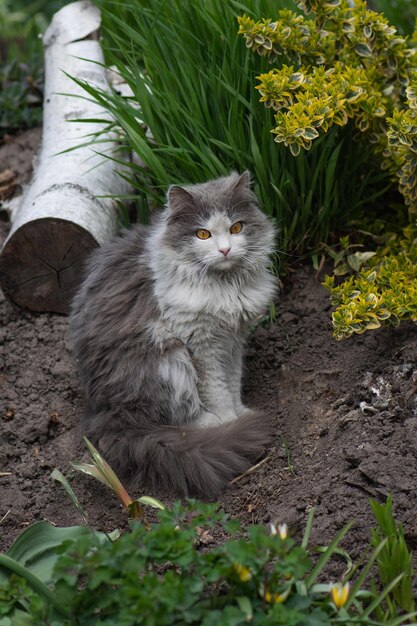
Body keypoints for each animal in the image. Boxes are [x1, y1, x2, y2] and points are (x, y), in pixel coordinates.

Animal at [69, 172, 276, 498]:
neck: (227, 286)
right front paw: (230, 422)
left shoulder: (232, 343)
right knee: (176, 418)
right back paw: (213, 428)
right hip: (170, 362)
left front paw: (241, 413)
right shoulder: (200, 345)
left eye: (236, 228)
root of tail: (105, 413)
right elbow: (217, 391)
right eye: (202, 234)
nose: (225, 250)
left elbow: (232, 383)